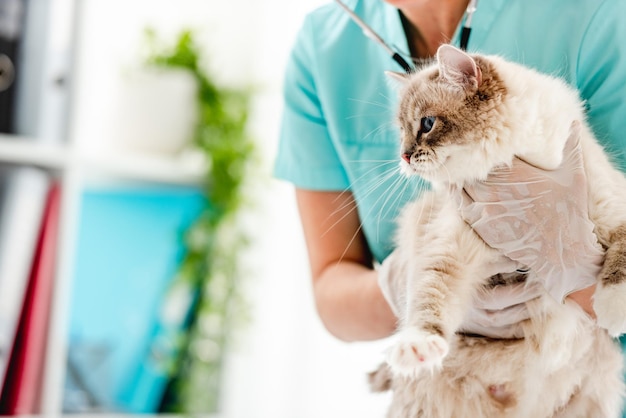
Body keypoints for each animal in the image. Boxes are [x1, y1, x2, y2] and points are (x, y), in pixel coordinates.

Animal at [366, 44, 624, 416]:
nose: (403, 157)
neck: (518, 163)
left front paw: (614, 310)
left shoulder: (611, 206)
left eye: (427, 124)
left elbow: (619, 262)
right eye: (401, 131)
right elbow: (429, 297)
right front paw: (417, 346)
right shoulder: (449, 247)